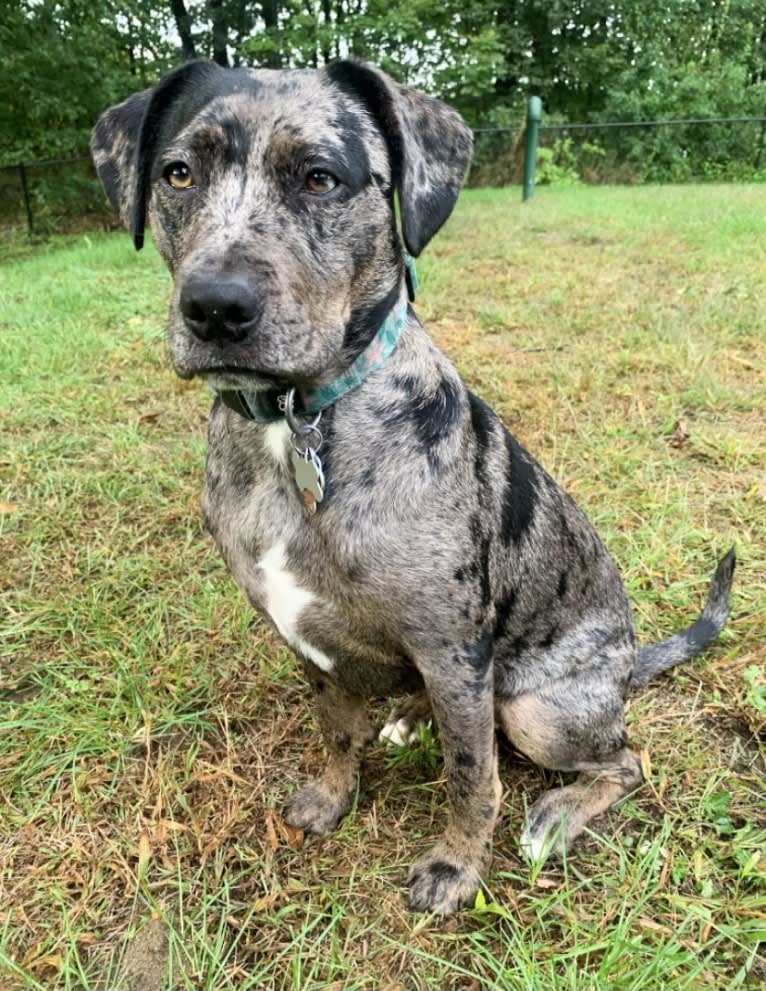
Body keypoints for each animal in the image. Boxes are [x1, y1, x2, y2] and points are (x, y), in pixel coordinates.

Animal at [91, 60, 736, 916]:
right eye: (178, 173)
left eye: (321, 177)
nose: (215, 307)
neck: (299, 425)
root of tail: (630, 660)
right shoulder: (308, 640)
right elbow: (335, 728)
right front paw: (333, 796)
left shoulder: (455, 652)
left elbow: (472, 775)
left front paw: (457, 866)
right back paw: (405, 715)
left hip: (536, 707)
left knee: (625, 760)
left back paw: (559, 814)